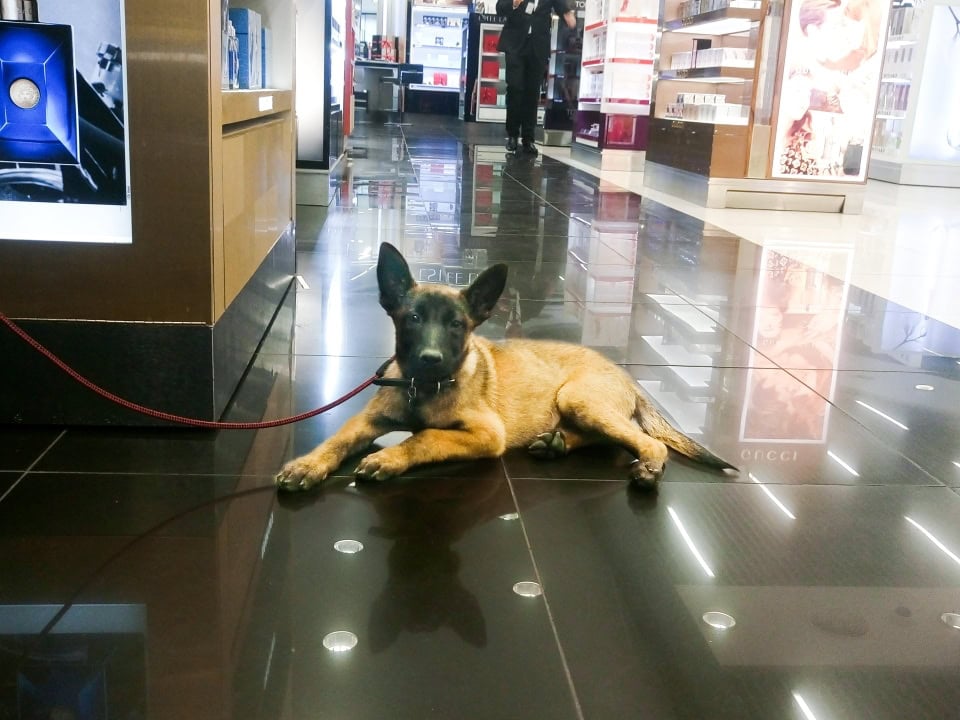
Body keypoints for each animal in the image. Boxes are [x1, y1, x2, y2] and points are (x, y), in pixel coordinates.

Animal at [278, 242, 736, 490]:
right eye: (413, 319)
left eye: (457, 326)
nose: (430, 359)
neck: (423, 389)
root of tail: (626, 374)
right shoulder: (367, 420)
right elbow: (336, 440)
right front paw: (306, 464)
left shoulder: (486, 435)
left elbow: (425, 437)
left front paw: (390, 458)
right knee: (605, 437)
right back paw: (556, 443)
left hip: (577, 397)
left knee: (646, 441)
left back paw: (648, 468)